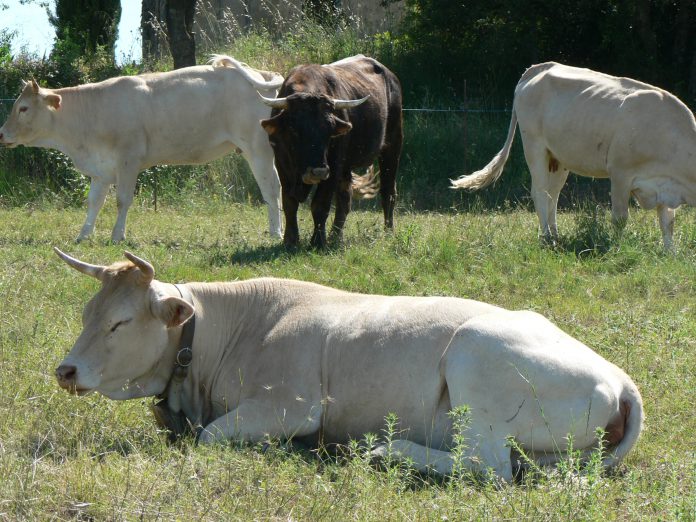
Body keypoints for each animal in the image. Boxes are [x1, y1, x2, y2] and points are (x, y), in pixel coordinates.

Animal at [0, 55, 284, 242]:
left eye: (23, 108)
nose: (2, 133)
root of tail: (260, 74)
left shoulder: (129, 160)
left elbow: (122, 200)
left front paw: (117, 236)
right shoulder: (101, 169)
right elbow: (94, 202)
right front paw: (83, 235)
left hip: (258, 149)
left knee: (271, 189)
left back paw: (275, 232)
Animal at [54, 248, 644, 482]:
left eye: (120, 323)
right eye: (88, 313)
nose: (66, 371)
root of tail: (619, 379)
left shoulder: (291, 405)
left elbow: (210, 436)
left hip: (476, 361)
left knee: (487, 466)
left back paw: (385, 450)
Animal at [258, 54, 403, 248]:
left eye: (329, 130)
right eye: (294, 129)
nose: (318, 171)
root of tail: (390, 75)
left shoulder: (333, 167)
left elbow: (320, 204)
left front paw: (318, 241)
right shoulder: (282, 164)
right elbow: (289, 202)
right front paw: (290, 240)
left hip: (392, 146)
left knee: (388, 192)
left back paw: (388, 231)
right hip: (347, 167)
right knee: (345, 198)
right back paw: (336, 236)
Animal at [451, 62, 696, 250]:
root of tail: (539, 67)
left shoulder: (665, 184)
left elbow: (667, 222)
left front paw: (669, 253)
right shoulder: (620, 174)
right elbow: (620, 218)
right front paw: (617, 247)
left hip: (558, 158)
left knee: (553, 195)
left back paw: (555, 235)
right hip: (534, 146)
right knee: (540, 193)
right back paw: (547, 239)